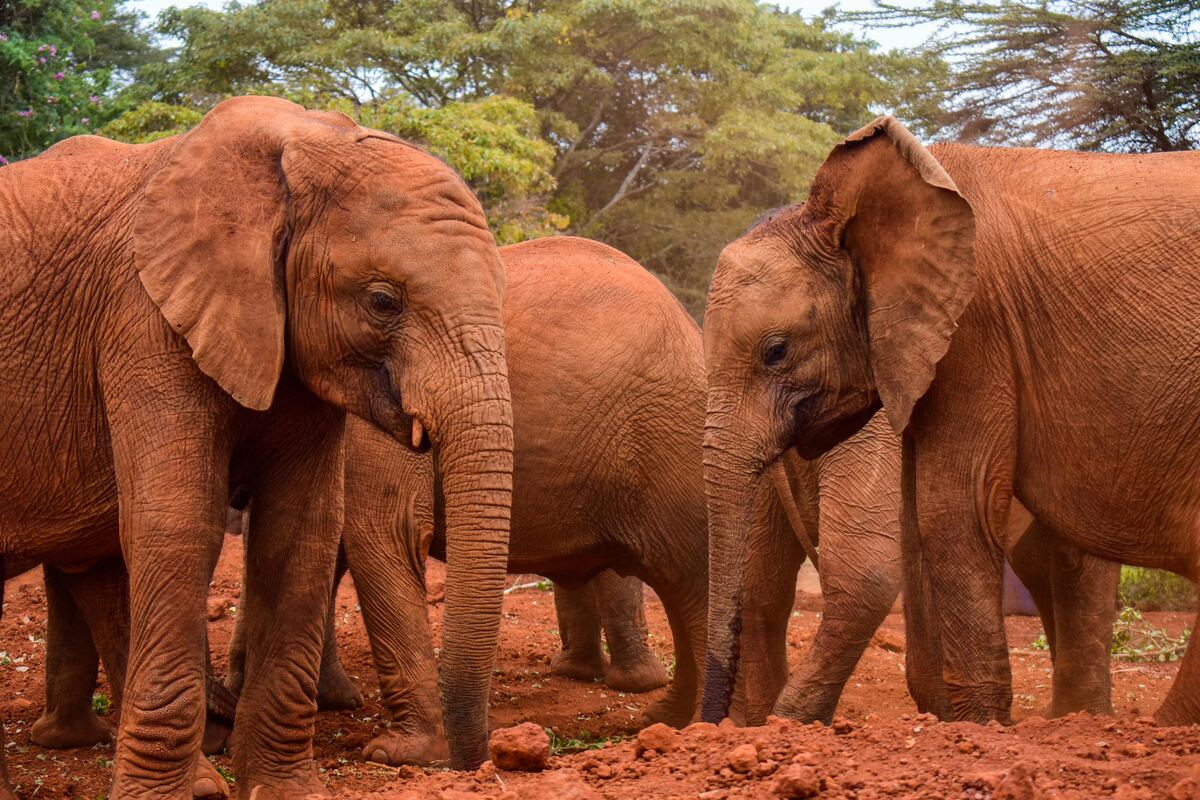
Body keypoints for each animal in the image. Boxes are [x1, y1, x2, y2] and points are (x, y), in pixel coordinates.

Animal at [0, 94, 514, 797]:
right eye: (383, 301)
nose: (468, 765)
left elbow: (302, 531)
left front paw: (282, 790)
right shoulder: (144, 318)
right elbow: (176, 526)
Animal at [700, 114, 1199, 726]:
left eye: (776, 351)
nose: (707, 722)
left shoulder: (974, 326)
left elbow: (943, 510)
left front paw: (977, 725)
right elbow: (914, 523)